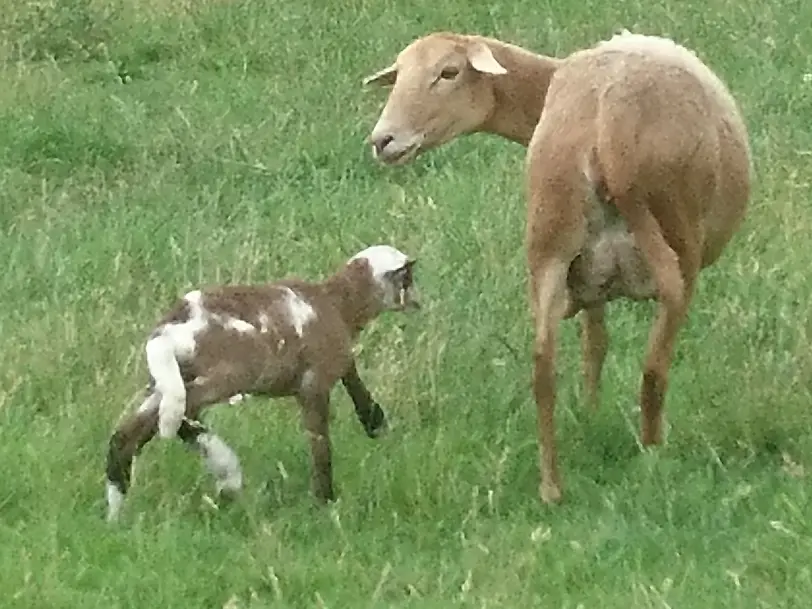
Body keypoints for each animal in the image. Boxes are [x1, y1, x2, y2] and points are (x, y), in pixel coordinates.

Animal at [364, 29, 752, 504]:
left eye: (448, 72)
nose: (382, 140)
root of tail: (604, 121)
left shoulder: (589, 280)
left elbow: (593, 346)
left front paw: (590, 414)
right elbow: (603, 346)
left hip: (547, 241)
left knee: (543, 366)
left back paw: (551, 487)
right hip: (675, 237)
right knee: (654, 365)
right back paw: (653, 455)